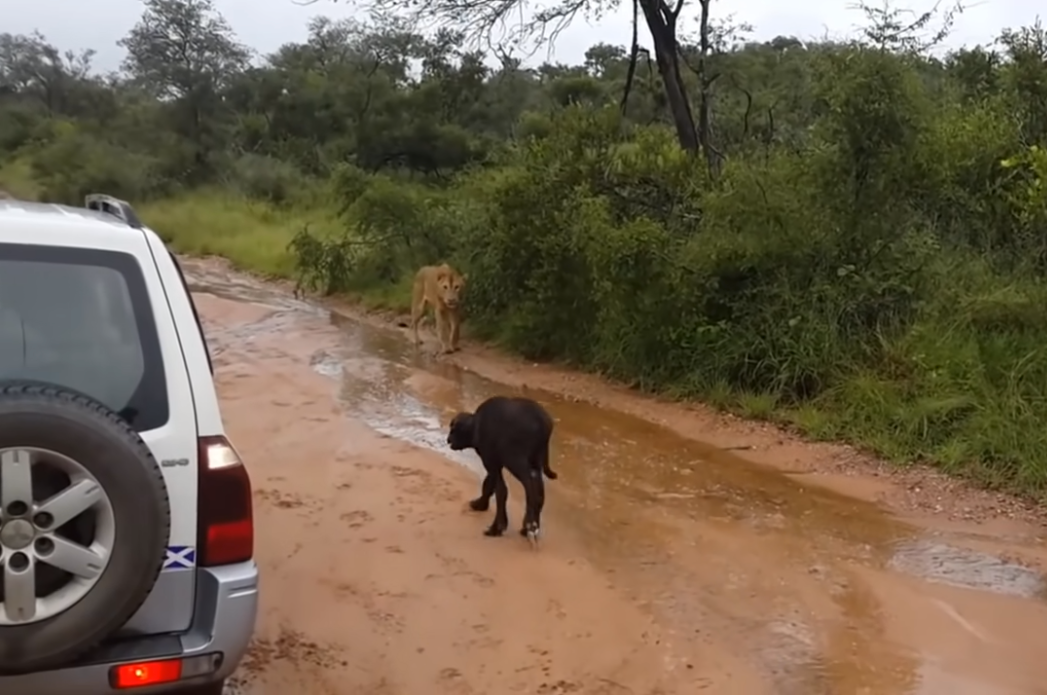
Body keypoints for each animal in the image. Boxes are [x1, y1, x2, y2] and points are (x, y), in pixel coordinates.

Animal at [448, 395, 561, 544]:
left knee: (531, 489)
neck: (478, 424)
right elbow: (488, 485)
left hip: (516, 461)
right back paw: (530, 526)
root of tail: (543, 424)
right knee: (540, 492)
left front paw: (497, 527)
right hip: (535, 463)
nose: (448, 440)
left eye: (453, 429)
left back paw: (529, 524)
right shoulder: (494, 465)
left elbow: (500, 491)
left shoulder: (490, 462)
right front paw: (480, 504)